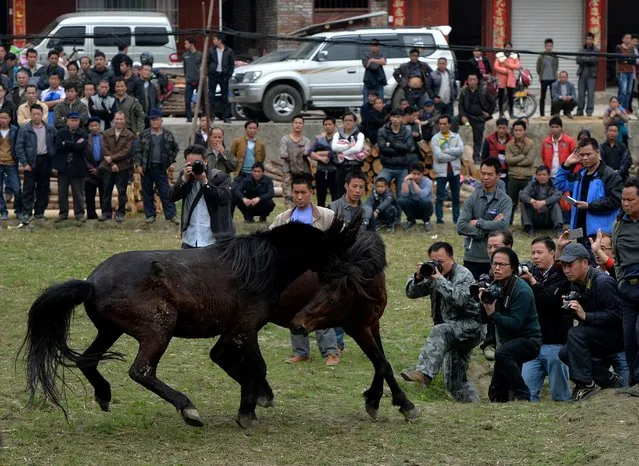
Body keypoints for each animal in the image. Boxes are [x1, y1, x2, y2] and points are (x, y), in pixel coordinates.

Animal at [21, 217, 360, 428]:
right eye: (334, 250)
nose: (353, 275)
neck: (260, 266)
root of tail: (90, 283)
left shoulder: (231, 332)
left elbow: (230, 362)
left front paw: (257, 401)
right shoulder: (245, 329)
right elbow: (257, 367)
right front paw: (247, 411)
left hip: (110, 330)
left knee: (87, 360)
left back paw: (104, 395)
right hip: (159, 328)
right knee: (141, 371)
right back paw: (188, 409)